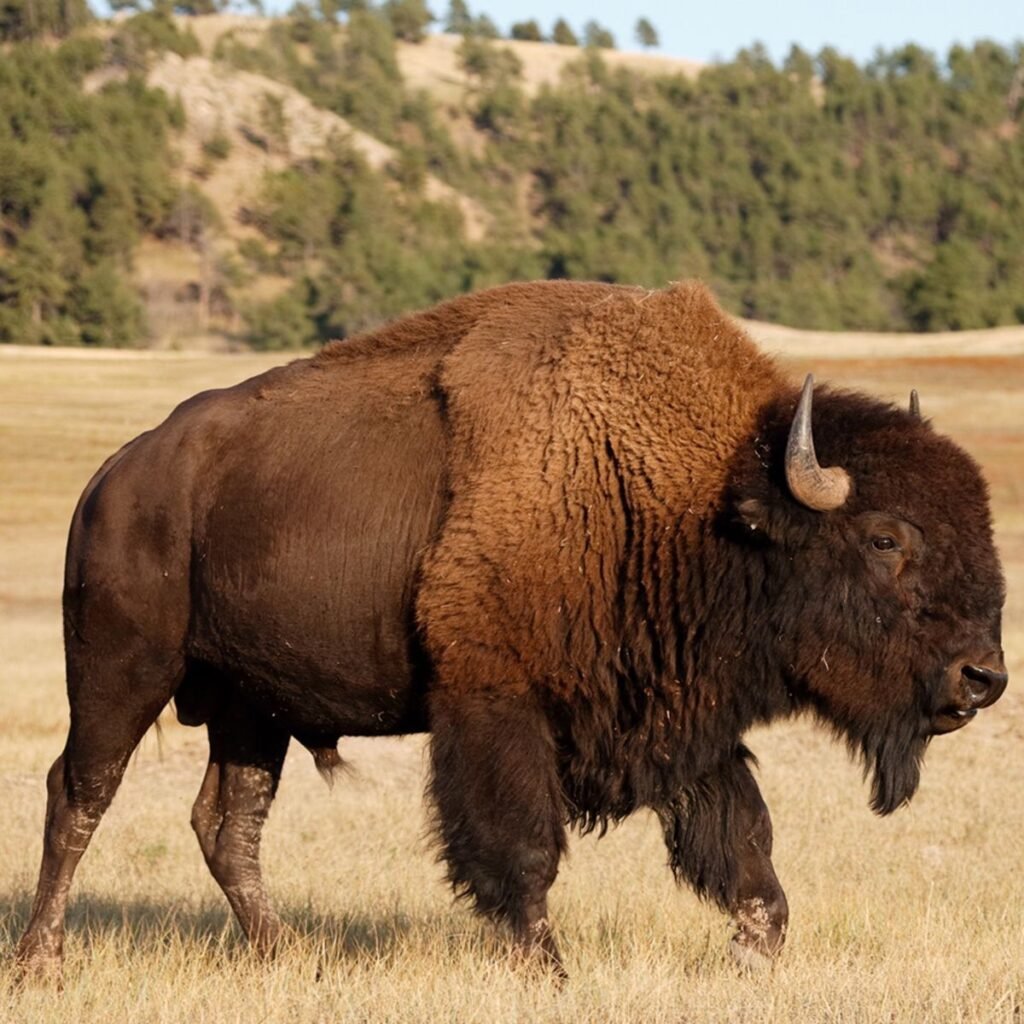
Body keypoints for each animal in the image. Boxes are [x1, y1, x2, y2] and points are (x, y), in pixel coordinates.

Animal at [16, 280, 1007, 979]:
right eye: (886, 538)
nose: (984, 677)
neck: (703, 501)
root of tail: (116, 475)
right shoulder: (494, 706)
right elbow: (521, 851)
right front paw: (548, 973)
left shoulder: (682, 724)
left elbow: (746, 852)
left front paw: (748, 956)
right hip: (121, 671)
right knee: (81, 794)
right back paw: (40, 964)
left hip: (251, 710)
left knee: (228, 825)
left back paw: (287, 957)